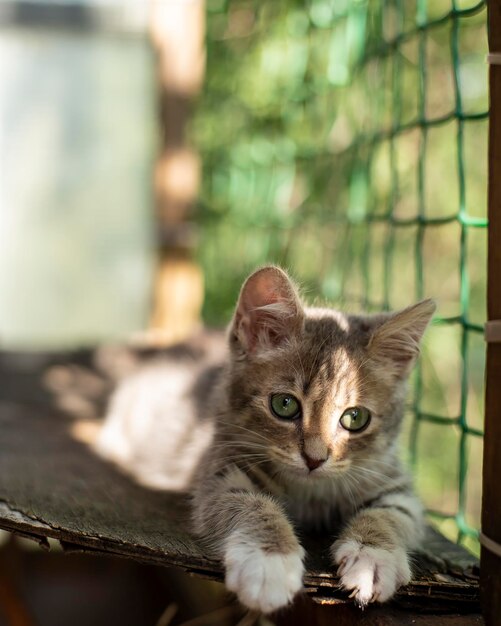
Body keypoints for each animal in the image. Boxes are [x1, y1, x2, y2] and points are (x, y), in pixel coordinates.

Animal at [191, 264, 434, 608]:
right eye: (284, 404)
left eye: (355, 418)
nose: (314, 459)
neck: (309, 494)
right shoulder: (221, 467)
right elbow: (246, 501)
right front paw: (269, 561)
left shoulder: (392, 482)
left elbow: (392, 513)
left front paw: (372, 557)